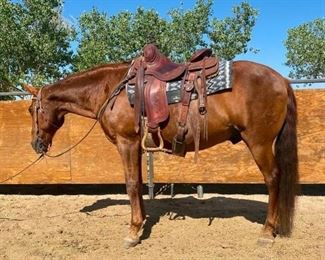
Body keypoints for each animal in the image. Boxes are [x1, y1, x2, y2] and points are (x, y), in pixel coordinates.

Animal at [23, 59, 296, 248]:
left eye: (31, 110)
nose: (36, 144)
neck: (110, 90)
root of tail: (281, 79)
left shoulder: (126, 143)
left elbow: (131, 183)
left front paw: (133, 232)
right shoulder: (136, 146)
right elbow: (138, 182)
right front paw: (141, 222)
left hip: (260, 143)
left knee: (273, 179)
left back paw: (266, 233)